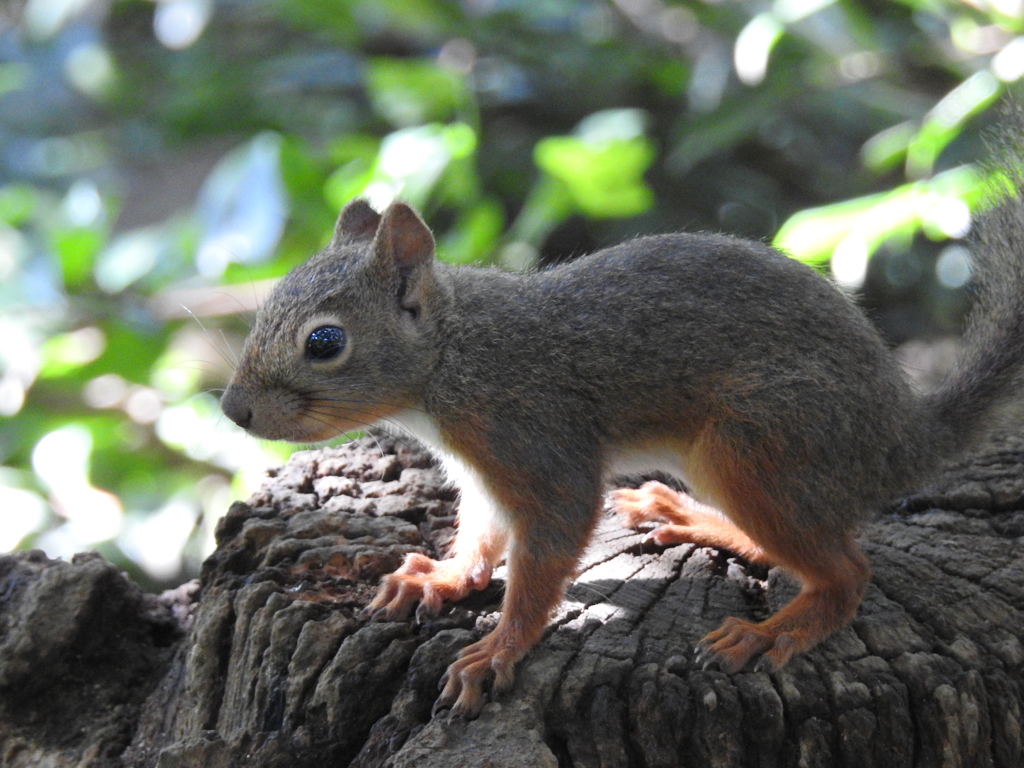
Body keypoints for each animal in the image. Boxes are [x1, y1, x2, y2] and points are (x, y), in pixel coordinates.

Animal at [220, 109, 1024, 720]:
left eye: (325, 342)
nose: (233, 410)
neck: (453, 357)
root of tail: (901, 438)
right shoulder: (481, 472)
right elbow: (482, 536)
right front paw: (441, 579)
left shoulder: (539, 440)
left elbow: (544, 552)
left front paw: (499, 647)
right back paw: (696, 519)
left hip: (759, 439)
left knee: (847, 573)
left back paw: (774, 631)